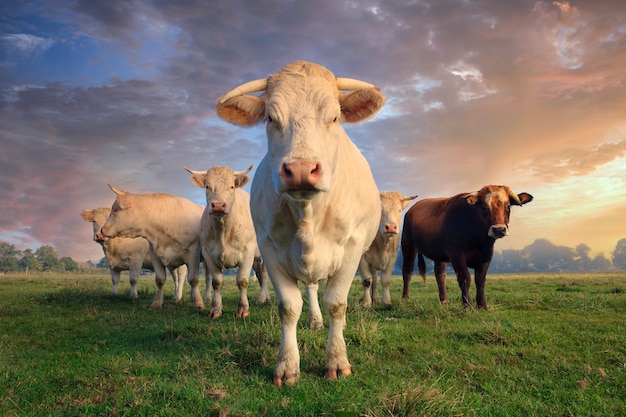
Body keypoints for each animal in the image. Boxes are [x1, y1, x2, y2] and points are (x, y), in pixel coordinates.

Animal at [180, 164, 268, 316]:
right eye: (207, 186)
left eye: (232, 186)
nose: (218, 205)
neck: (223, 231)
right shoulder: (208, 253)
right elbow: (216, 282)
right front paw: (215, 309)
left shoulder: (247, 252)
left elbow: (242, 281)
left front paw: (243, 309)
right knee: (259, 273)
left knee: (265, 273)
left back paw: (263, 298)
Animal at [213, 60, 380, 386]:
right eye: (270, 117)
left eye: (335, 117)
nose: (302, 169)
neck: (308, 215)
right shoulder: (268, 248)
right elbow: (289, 307)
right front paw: (288, 365)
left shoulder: (353, 247)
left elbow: (337, 303)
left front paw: (337, 360)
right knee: (312, 289)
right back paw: (314, 319)